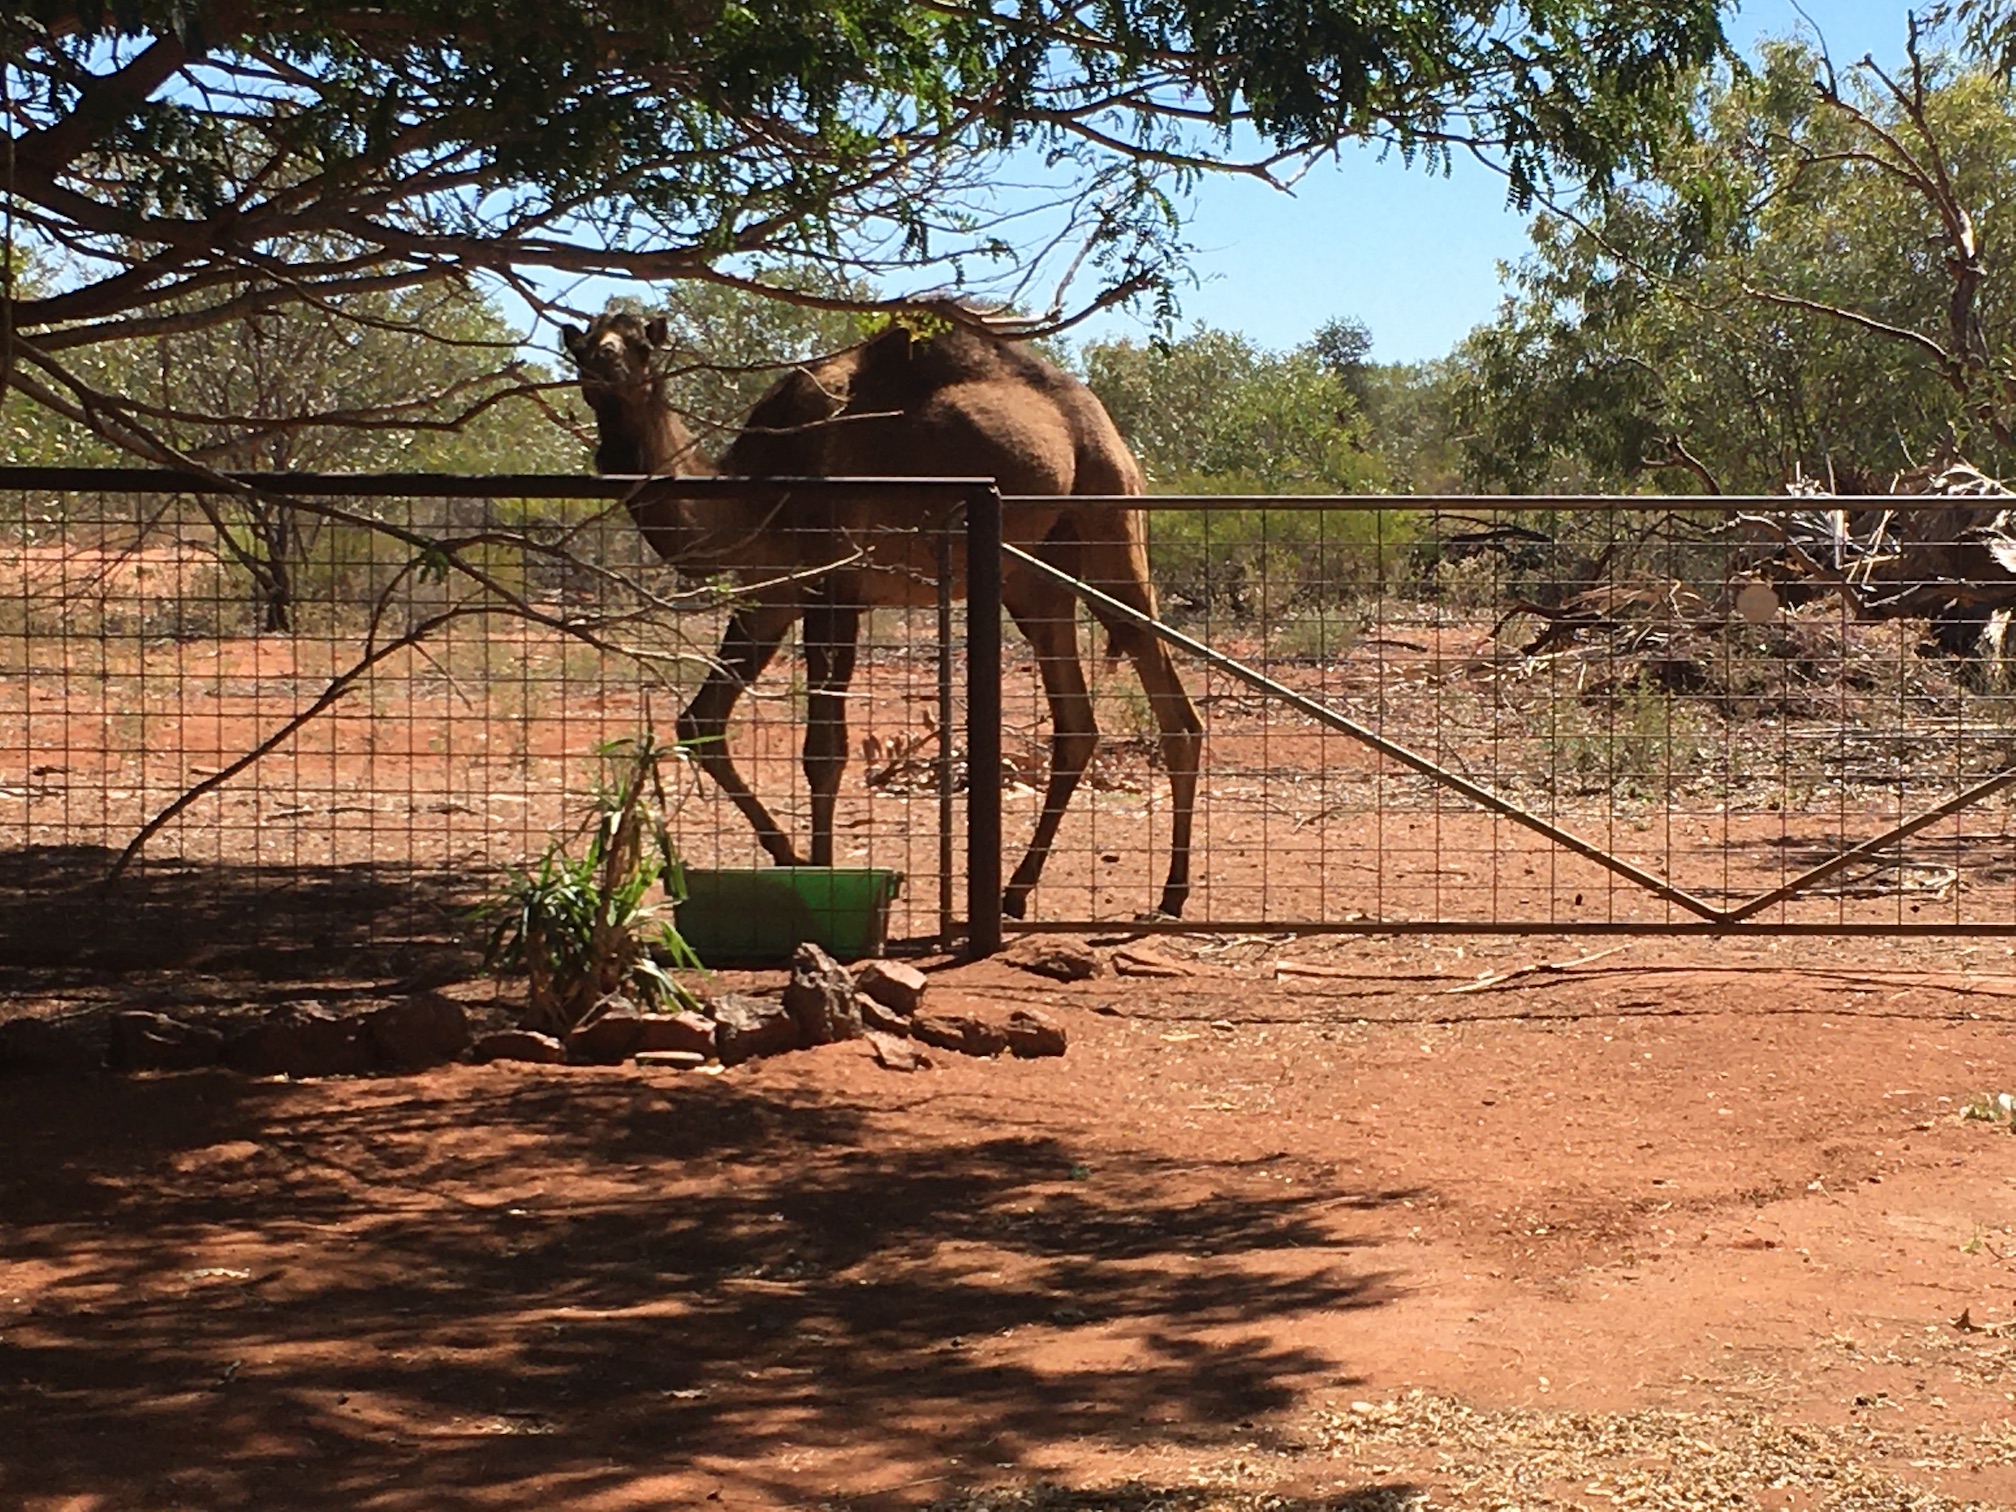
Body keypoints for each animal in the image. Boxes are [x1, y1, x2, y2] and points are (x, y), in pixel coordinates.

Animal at [560, 312, 1201, 919]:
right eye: (584, 344)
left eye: (641, 344)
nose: (605, 365)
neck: (752, 491)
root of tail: (1103, 424)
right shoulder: (772, 598)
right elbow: (700, 722)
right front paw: (790, 857)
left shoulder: (834, 583)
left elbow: (823, 752)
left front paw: (820, 876)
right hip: (1035, 579)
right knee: (1077, 724)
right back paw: (1017, 892)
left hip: (1108, 517)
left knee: (1170, 703)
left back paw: (1172, 893)